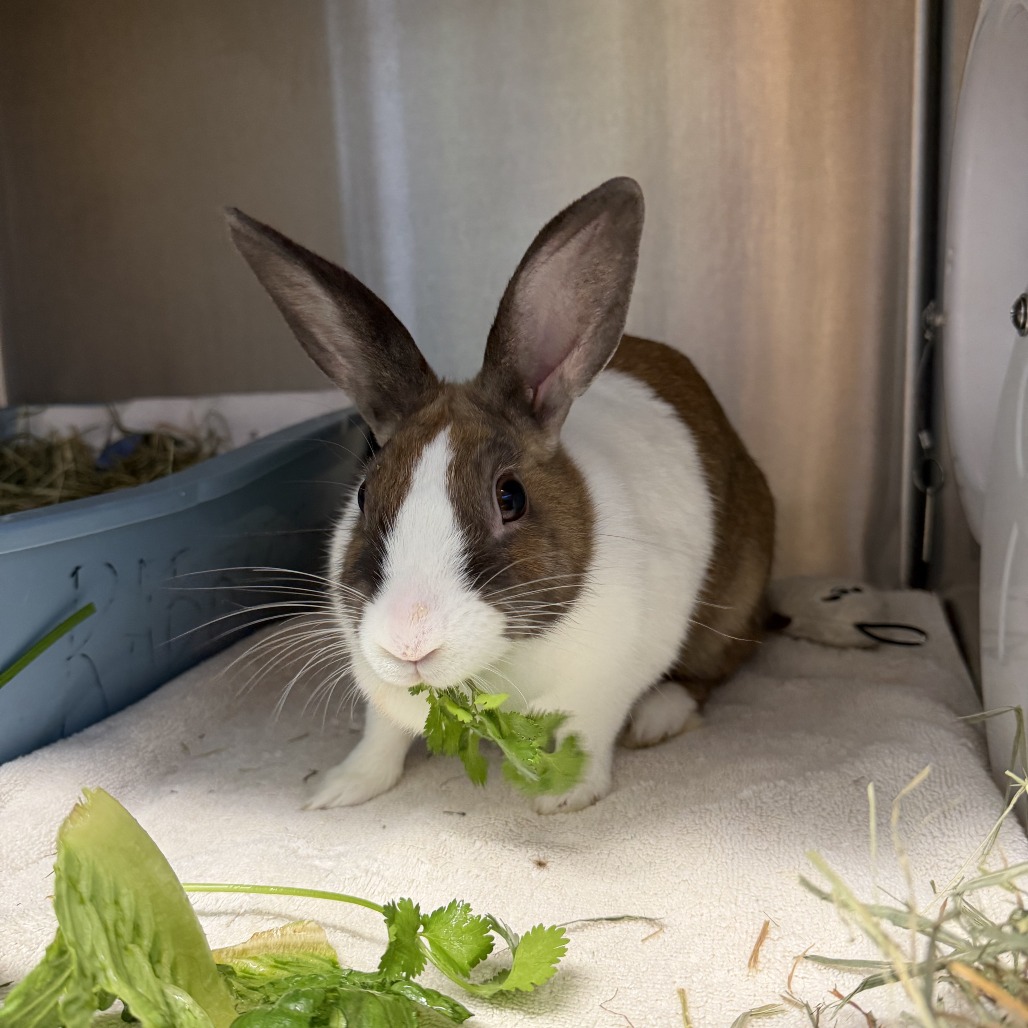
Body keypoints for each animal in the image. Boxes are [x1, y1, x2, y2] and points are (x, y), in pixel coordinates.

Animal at [226, 177, 775, 814]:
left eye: (510, 497)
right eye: (363, 494)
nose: (408, 642)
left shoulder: (605, 680)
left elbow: (588, 734)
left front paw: (565, 798)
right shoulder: (377, 683)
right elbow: (380, 735)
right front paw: (338, 789)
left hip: (735, 599)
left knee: (719, 664)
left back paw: (660, 715)